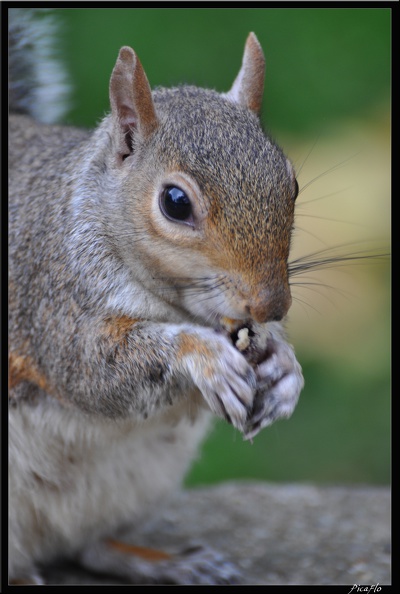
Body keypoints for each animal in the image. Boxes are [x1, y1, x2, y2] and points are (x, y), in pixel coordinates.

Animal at [7, 8, 304, 584]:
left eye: (293, 184)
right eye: (175, 202)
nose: (271, 306)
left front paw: (284, 370)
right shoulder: (51, 302)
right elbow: (92, 370)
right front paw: (206, 358)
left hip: (138, 481)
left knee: (90, 547)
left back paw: (167, 562)